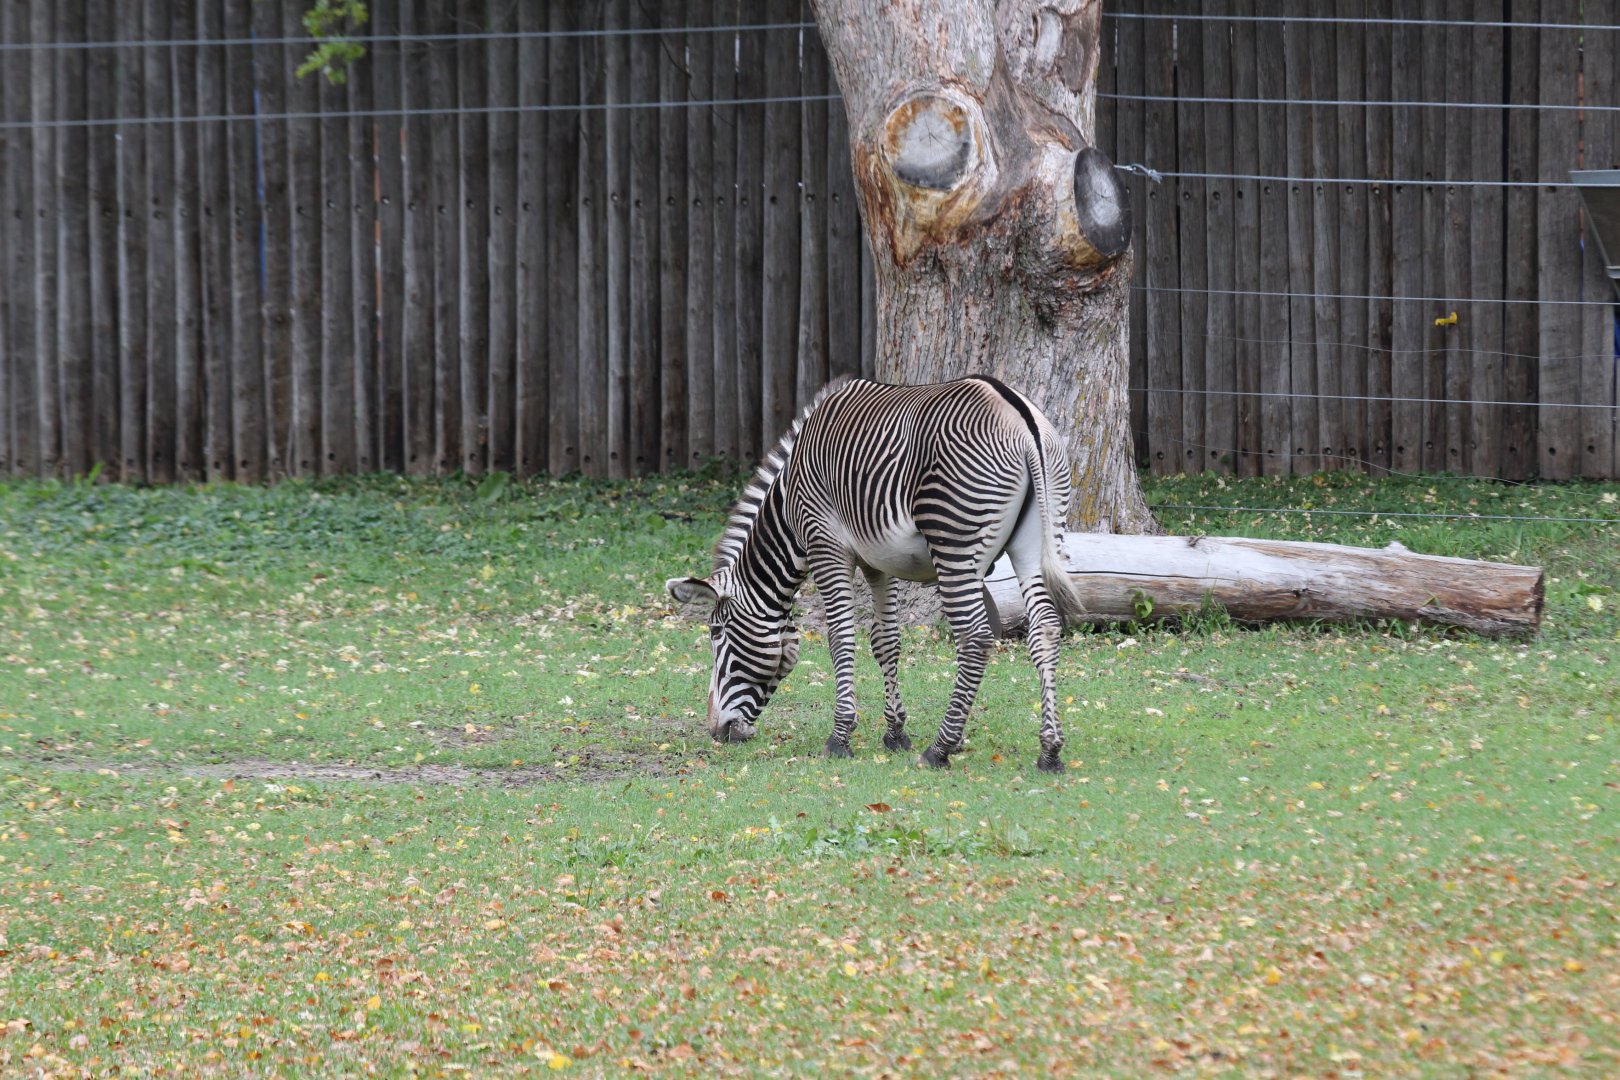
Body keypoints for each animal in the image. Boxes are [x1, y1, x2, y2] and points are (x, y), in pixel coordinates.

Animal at [667, 376, 1084, 772]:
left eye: (715, 632)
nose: (717, 731)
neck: (788, 507)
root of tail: (1020, 418)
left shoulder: (826, 545)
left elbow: (840, 638)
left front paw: (840, 737)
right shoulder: (879, 562)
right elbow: (886, 641)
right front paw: (895, 733)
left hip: (955, 545)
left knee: (976, 637)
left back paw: (940, 749)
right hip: (1033, 542)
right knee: (1045, 628)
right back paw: (1049, 751)